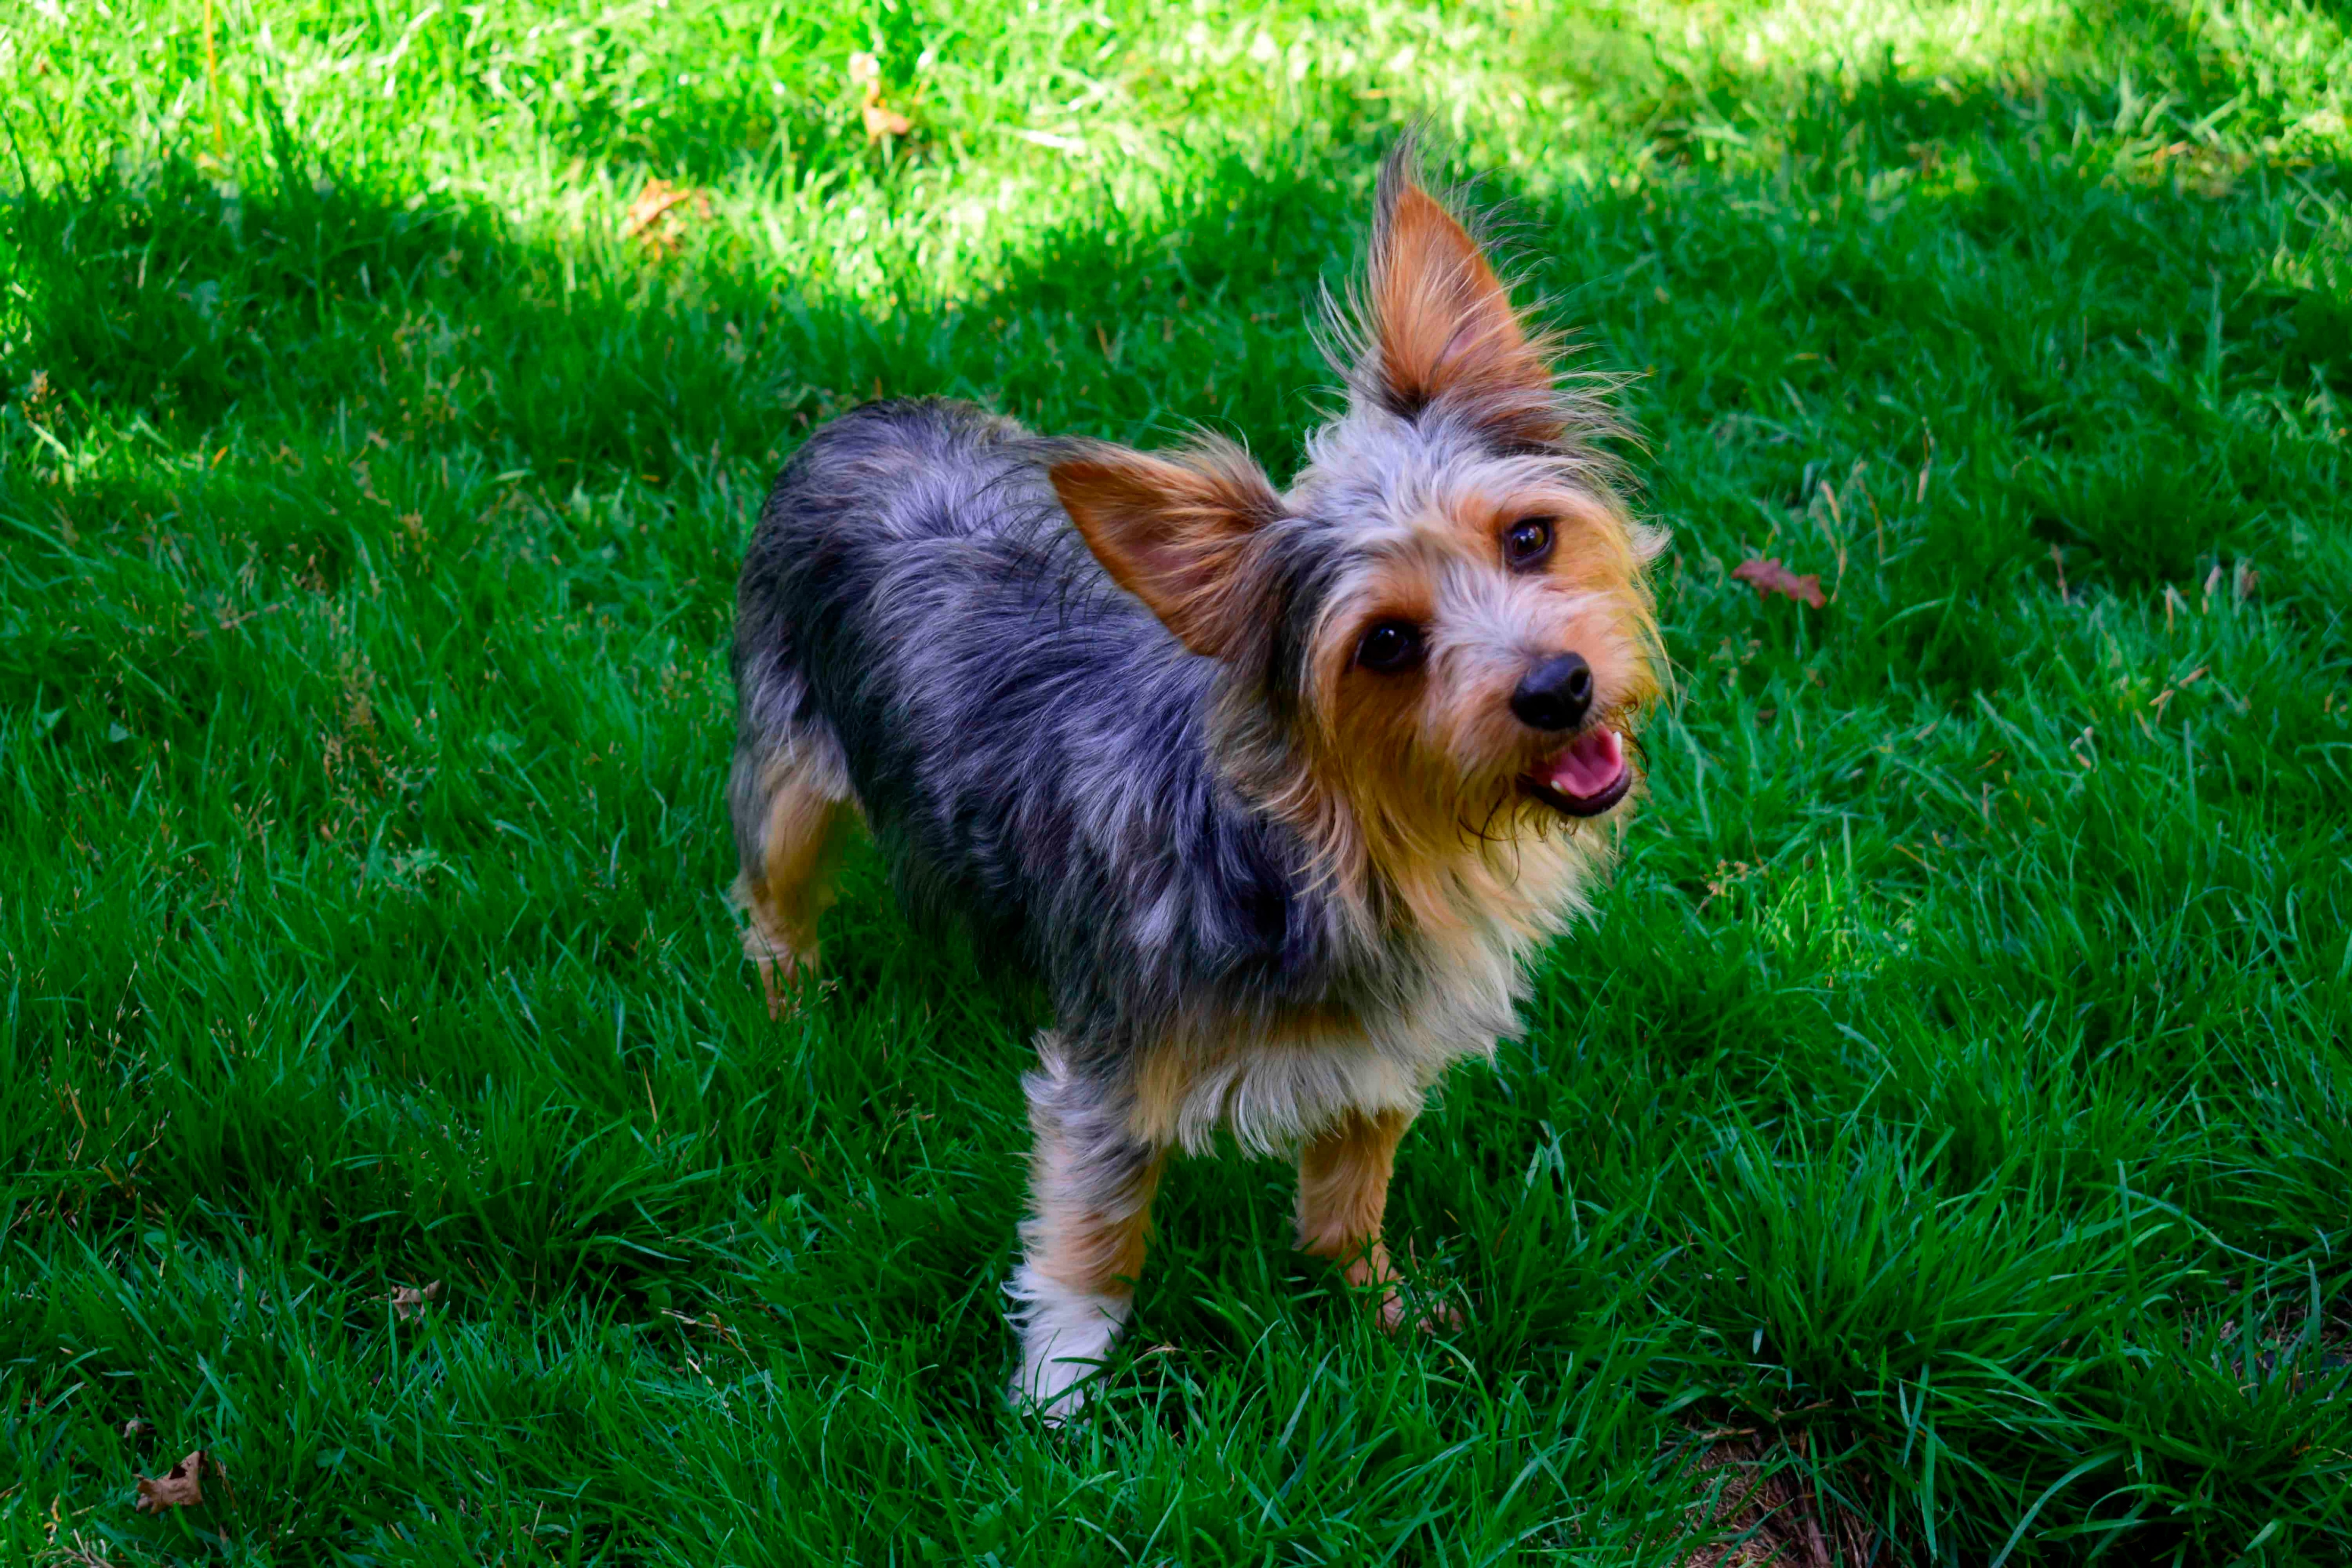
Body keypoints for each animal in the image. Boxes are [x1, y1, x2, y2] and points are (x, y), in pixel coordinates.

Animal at [724, 150, 1665, 1420]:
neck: (1342, 847)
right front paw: (1058, 1402)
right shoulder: (1110, 1078)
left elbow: (1347, 1198)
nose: (1558, 687)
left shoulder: (1378, 1051)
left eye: (1528, 537)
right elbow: (1091, 1240)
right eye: (1385, 645)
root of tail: (867, 415)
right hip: (788, 772)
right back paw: (794, 1018)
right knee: (771, 903)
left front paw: (1381, 1313)